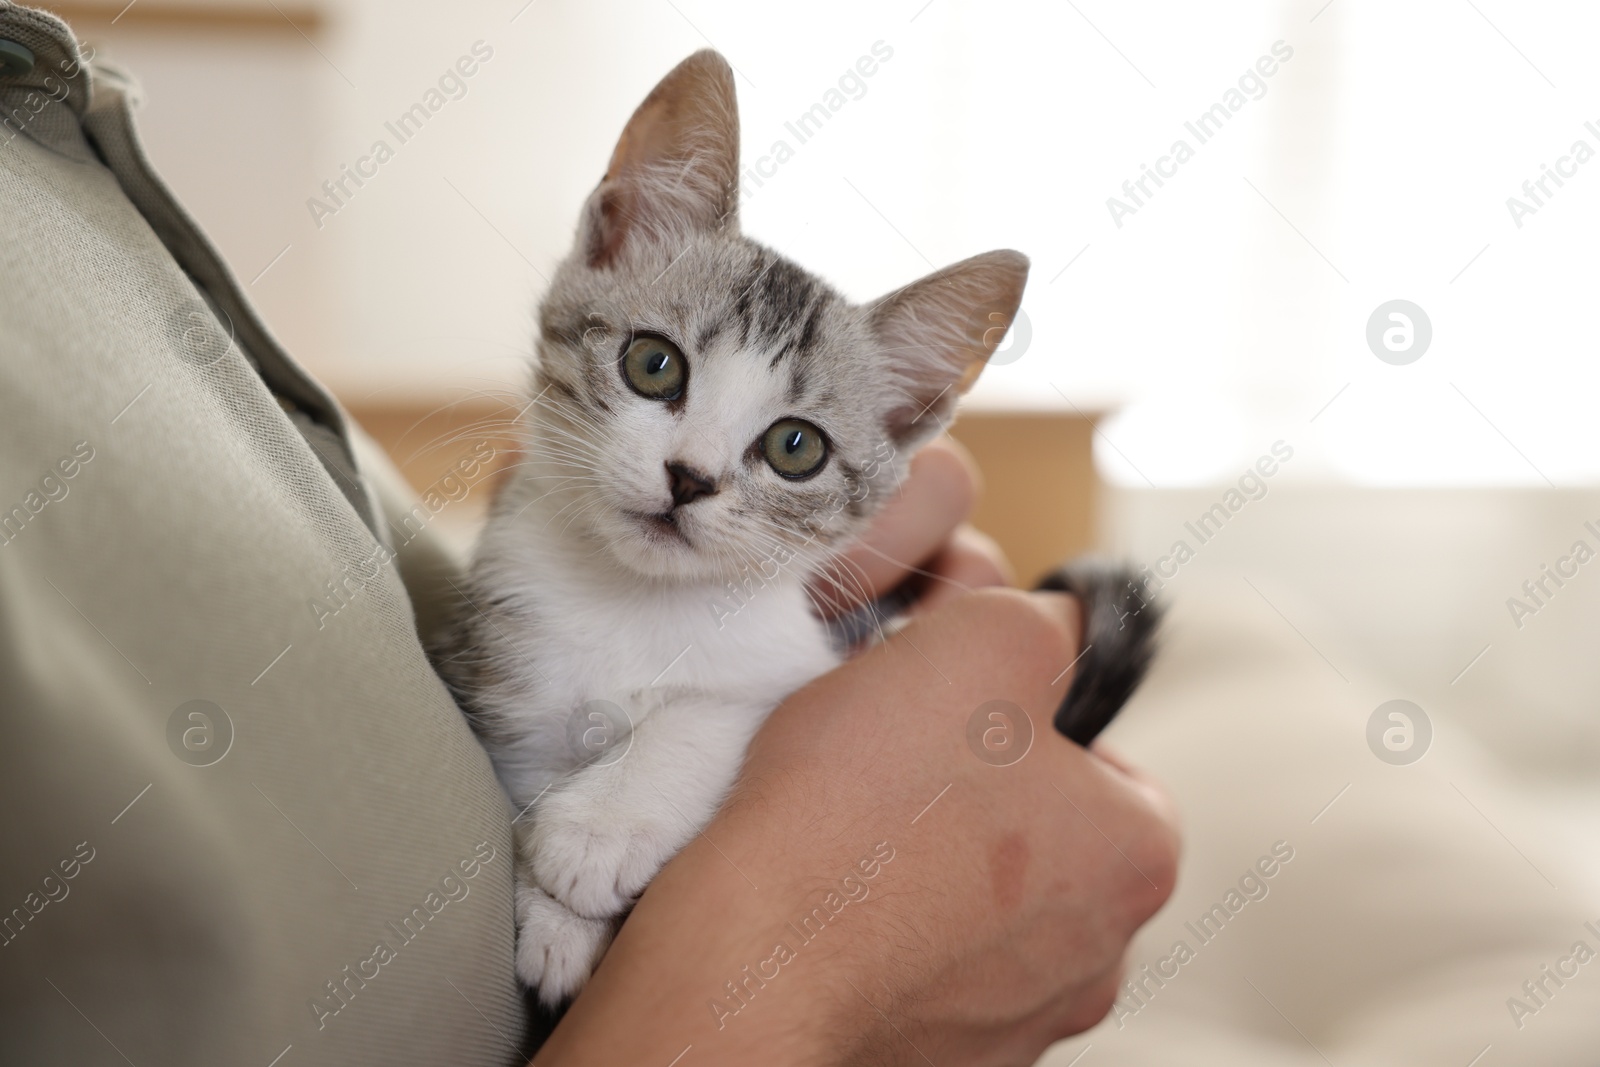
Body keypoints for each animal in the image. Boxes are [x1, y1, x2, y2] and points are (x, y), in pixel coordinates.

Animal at [444, 49, 1158, 1004]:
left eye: (795, 447)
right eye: (651, 362)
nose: (689, 478)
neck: (638, 605)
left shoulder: (804, 658)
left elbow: (714, 711)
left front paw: (603, 825)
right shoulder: (509, 671)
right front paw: (557, 916)